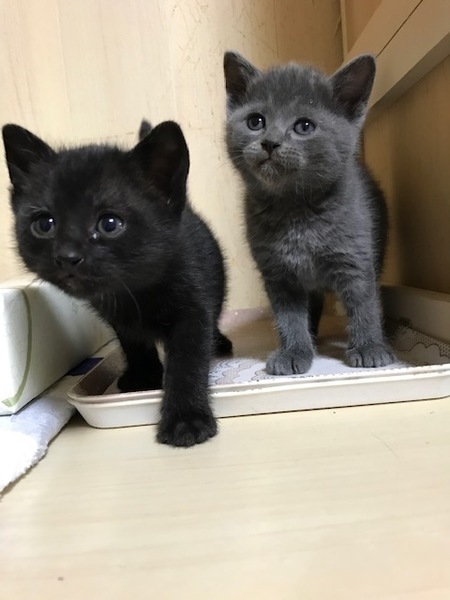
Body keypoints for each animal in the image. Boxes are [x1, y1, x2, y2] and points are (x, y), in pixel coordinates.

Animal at [2, 120, 232, 446]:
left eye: (110, 224)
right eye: (44, 224)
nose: (67, 256)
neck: (136, 290)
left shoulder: (193, 310)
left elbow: (188, 362)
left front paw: (186, 419)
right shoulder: (118, 317)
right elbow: (133, 343)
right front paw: (144, 375)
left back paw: (219, 342)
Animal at [223, 51, 394, 375]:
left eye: (304, 126)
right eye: (255, 121)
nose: (270, 142)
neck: (295, 210)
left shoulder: (354, 259)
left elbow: (363, 303)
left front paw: (369, 347)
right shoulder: (278, 274)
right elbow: (289, 317)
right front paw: (294, 351)